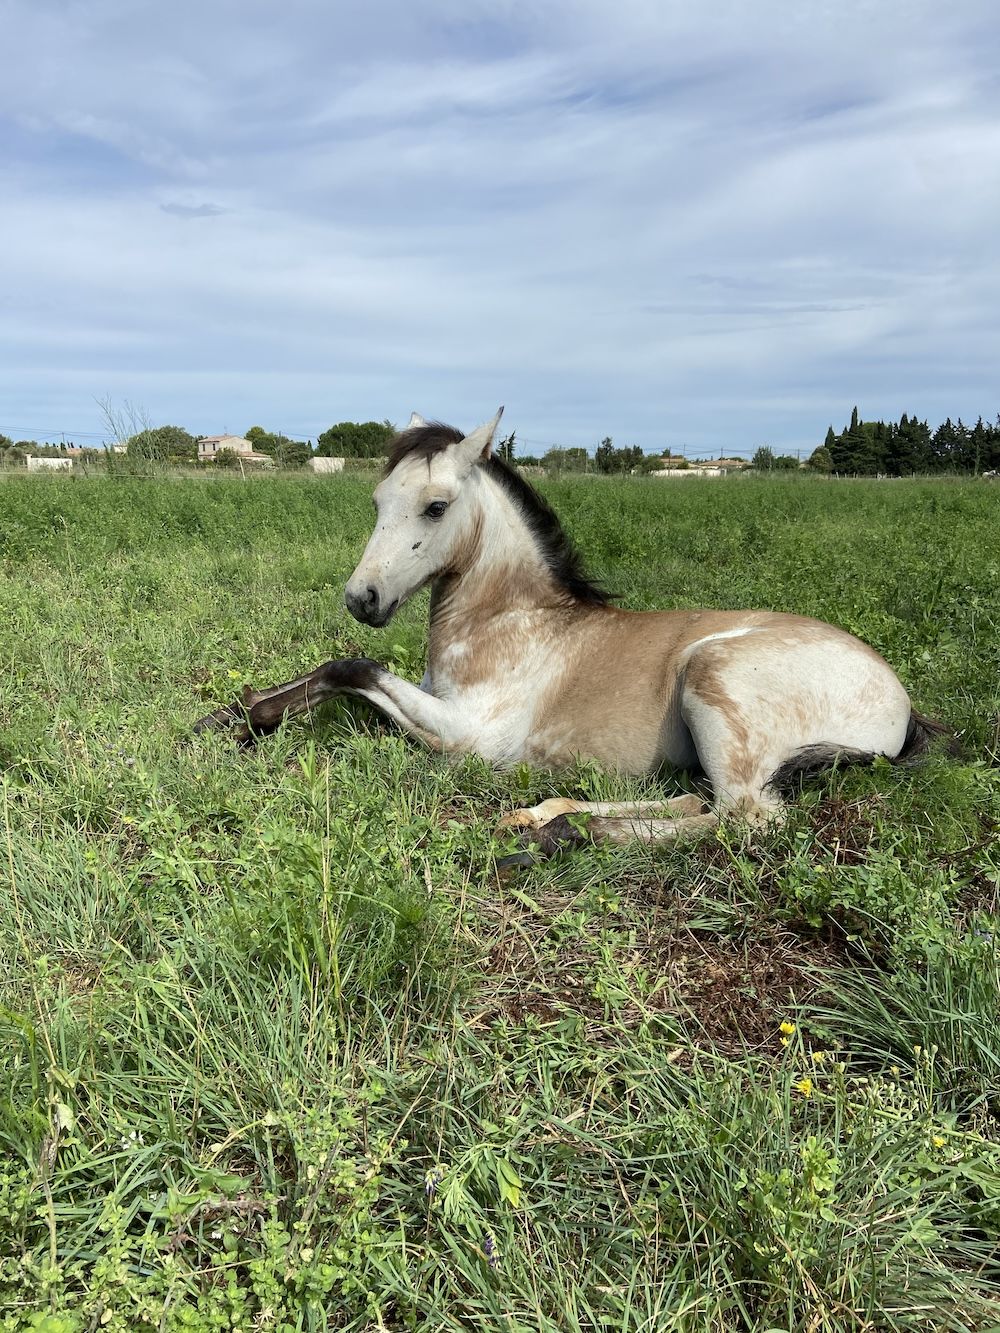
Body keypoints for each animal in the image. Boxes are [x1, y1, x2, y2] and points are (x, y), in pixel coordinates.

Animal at [193, 407, 949, 842]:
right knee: (692, 803)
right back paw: (543, 816)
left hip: (712, 676)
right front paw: (236, 716)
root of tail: (903, 703)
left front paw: (247, 716)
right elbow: (337, 673)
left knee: (744, 821)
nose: (363, 598)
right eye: (379, 499)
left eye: (436, 506)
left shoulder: (469, 736)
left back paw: (557, 837)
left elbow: (353, 665)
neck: (513, 622)